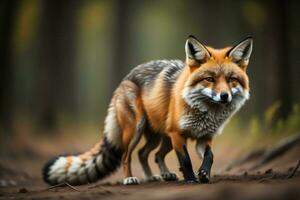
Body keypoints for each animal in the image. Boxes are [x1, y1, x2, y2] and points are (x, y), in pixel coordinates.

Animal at [43, 35, 252, 185]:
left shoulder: (204, 137)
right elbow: (185, 161)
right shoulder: (178, 135)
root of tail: (125, 78)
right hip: (137, 131)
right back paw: (130, 178)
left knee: (149, 154)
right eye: (210, 79)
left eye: (231, 79)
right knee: (128, 156)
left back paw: (158, 176)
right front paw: (191, 179)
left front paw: (204, 174)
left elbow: (210, 156)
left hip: (160, 137)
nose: (224, 96)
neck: (206, 113)